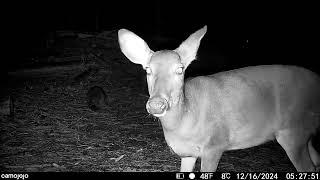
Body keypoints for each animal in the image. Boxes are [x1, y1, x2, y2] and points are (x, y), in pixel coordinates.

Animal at [118, 25, 320, 172]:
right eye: (148, 70)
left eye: (180, 69)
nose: (156, 104)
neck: (185, 119)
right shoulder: (187, 154)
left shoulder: (215, 145)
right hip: (304, 133)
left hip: (292, 132)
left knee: (308, 168)